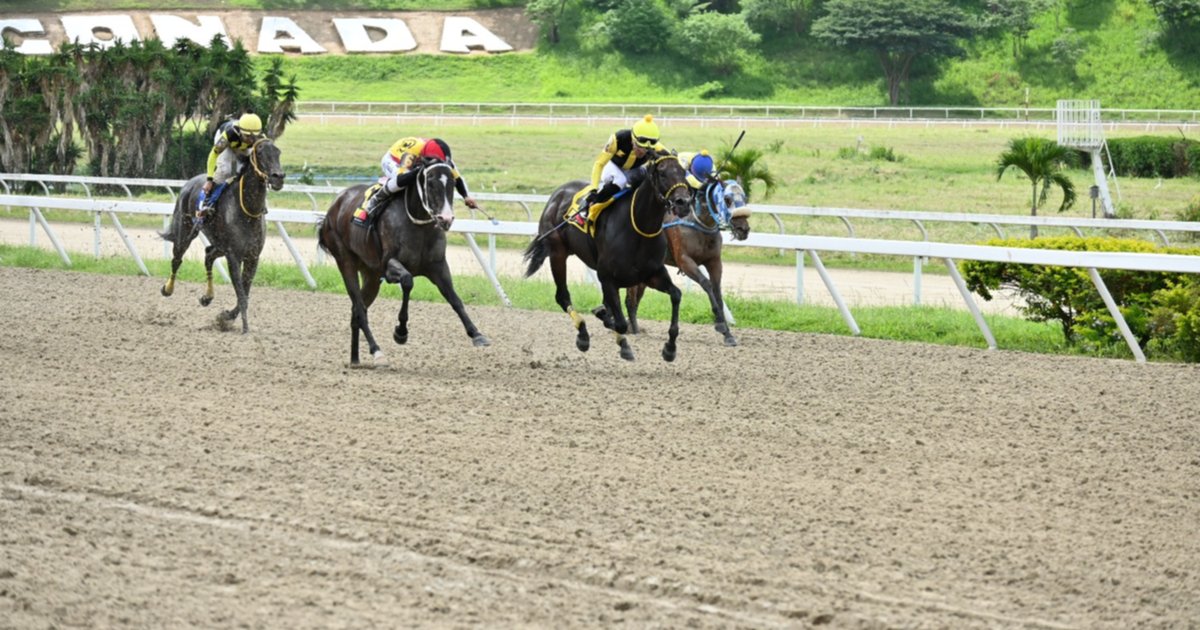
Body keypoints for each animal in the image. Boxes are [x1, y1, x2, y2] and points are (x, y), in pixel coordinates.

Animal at [158, 136, 284, 333]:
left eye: (278, 152)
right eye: (260, 153)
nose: (278, 177)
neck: (247, 211)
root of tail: (189, 182)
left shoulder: (252, 257)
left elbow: (245, 293)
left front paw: (226, 317)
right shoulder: (233, 256)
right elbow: (241, 294)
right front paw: (244, 328)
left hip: (219, 245)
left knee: (208, 255)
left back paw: (207, 297)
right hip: (185, 233)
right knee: (177, 259)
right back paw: (168, 289)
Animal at [319, 158, 492, 362]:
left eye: (452, 183)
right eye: (430, 183)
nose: (446, 219)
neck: (418, 224)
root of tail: (335, 204)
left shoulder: (438, 267)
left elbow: (454, 299)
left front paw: (476, 334)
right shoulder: (388, 266)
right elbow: (408, 282)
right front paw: (401, 332)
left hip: (371, 275)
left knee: (356, 311)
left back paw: (355, 359)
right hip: (346, 261)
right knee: (360, 309)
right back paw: (376, 350)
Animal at [523, 149, 696, 360]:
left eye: (683, 172)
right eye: (662, 173)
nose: (683, 203)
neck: (638, 228)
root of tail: (557, 194)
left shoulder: (652, 274)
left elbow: (676, 295)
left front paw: (670, 348)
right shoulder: (607, 277)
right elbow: (618, 322)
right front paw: (607, 321)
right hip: (557, 253)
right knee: (562, 296)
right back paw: (583, 335)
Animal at [628, 176, 748, 345]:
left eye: (745, 198)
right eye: (727, 199)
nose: (743, 229)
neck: (697, 223)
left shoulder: (714, 262)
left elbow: (717, 291)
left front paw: (728, 334)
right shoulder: (685, 261)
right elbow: (706, 284)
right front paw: (719, 324)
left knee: (636, 296)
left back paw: (633, 327)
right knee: (630, 299)